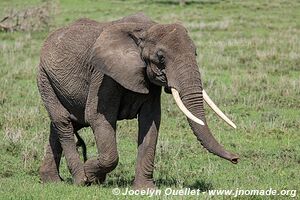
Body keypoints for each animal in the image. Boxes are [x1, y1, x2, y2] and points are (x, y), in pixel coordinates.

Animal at [37, 13, 239, 188]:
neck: (146, 29)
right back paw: (80, 180)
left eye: (195, 53)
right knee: (63, 123)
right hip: (44, 78)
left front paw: (146, 189)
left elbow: (151, 120)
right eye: (161, 58)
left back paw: (51, 181)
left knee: (65, 124)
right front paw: (91, 175)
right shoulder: (103, 76)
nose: (236, 158)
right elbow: (97, 116)